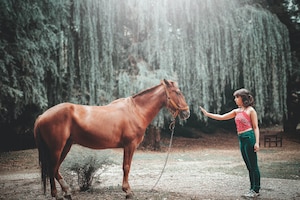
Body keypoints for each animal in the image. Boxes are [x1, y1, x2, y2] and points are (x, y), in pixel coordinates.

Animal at [34, 79, 190, 199]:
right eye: (178, 92)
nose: (187, 113)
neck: (136, 111)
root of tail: (42, 116)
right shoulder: (130, 146)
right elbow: (126, 167)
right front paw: (128, 191)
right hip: (56, 148)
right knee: (52, 168)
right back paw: (56, 194)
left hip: (66, 146)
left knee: (55, 169)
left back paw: (67, 192)